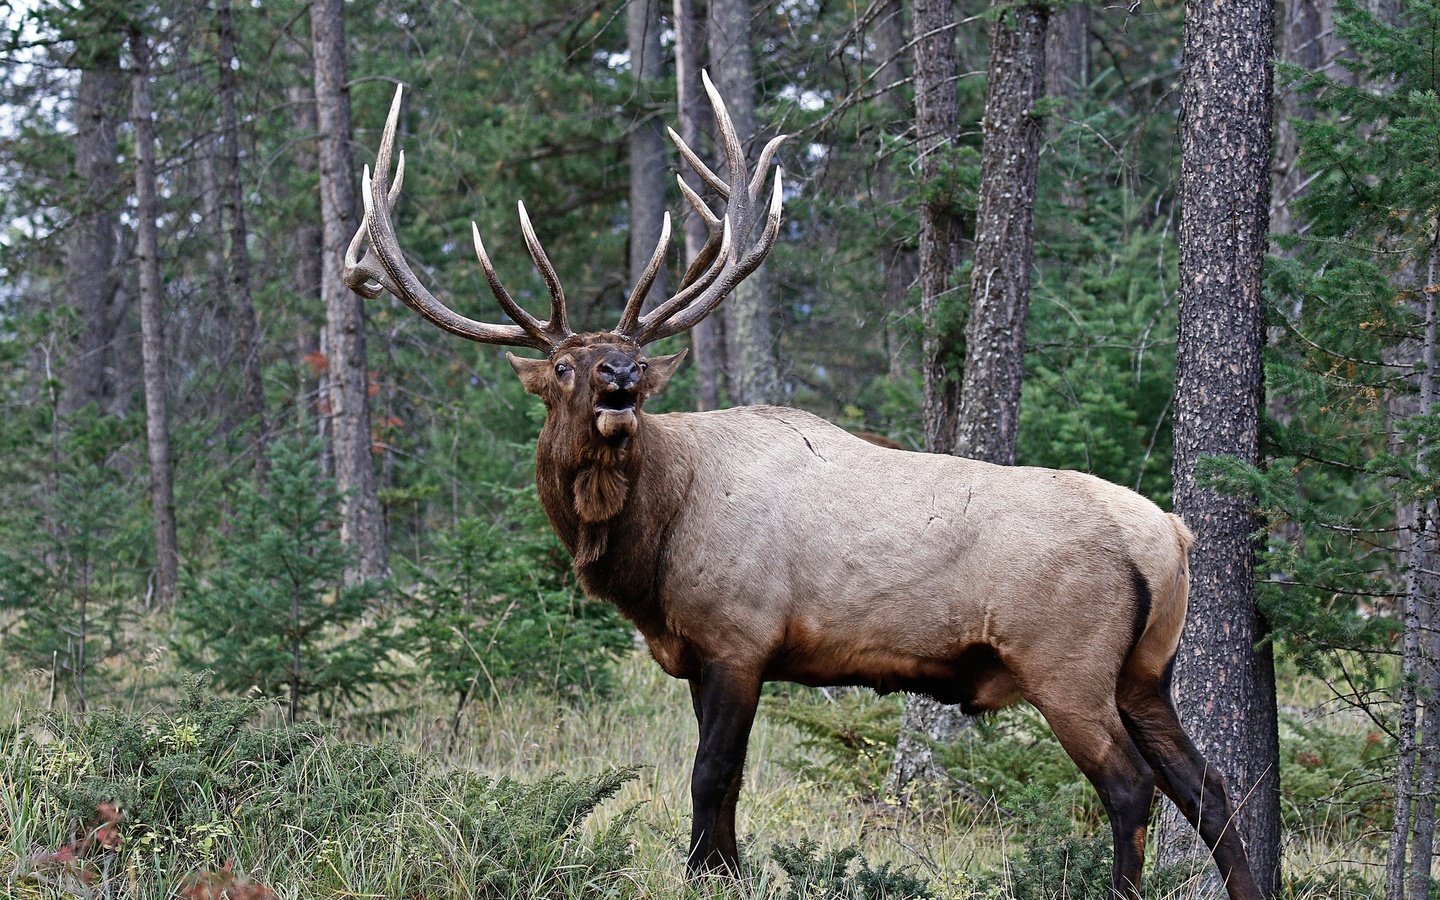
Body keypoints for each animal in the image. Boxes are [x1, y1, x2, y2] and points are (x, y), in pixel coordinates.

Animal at [345, 82, 1261, 898]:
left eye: (627, 357)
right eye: (565, 368)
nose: (620, 381)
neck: (650, 549)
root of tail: (1169, 538)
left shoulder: (738, 636)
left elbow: (711, 775)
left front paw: (703, 874)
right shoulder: (704, 654)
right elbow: (729, 783)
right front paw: (727, 870)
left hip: (1066, 663)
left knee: (1130, 788)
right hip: (1146, 670)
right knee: (1211, 787)